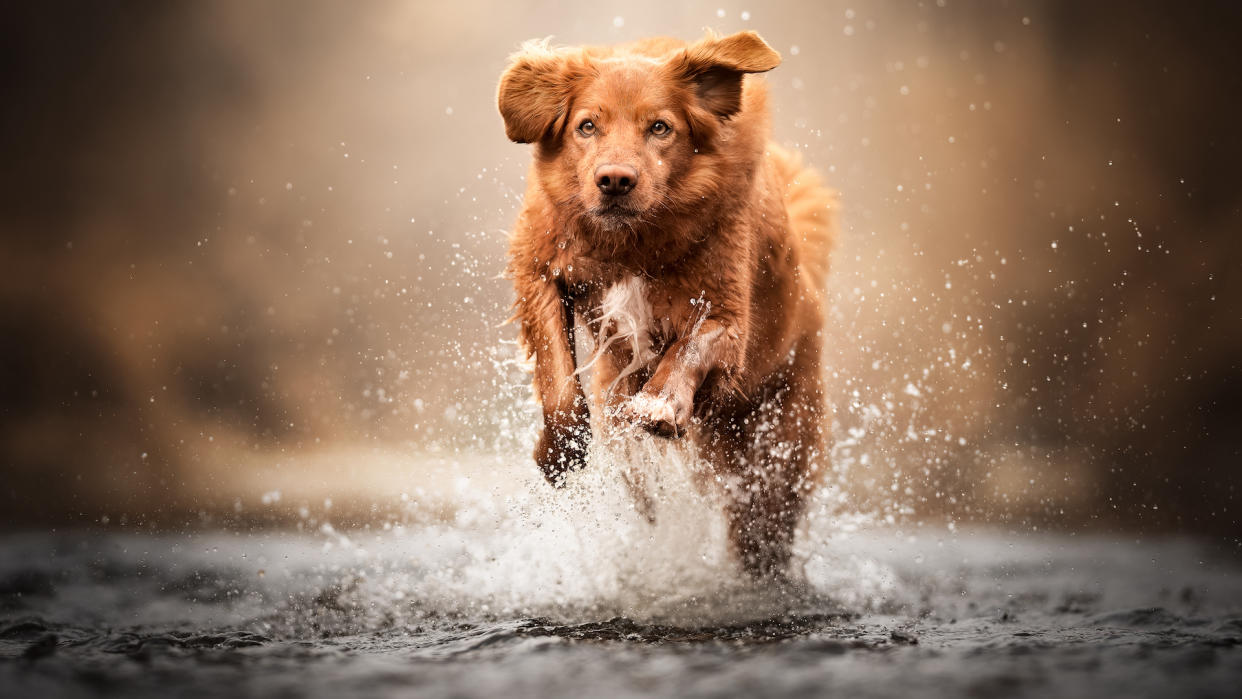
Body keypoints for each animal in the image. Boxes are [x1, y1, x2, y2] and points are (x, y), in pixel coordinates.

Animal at [499, 30, 839, 581]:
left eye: (660, 127)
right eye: (586, 125)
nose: (614, 181)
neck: (634, 244)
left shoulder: (728, 316)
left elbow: (690, 347)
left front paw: (659, 403)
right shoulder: (542, 270)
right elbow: (559, 381)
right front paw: (560, 450)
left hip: (775, 457)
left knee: (761, 534)